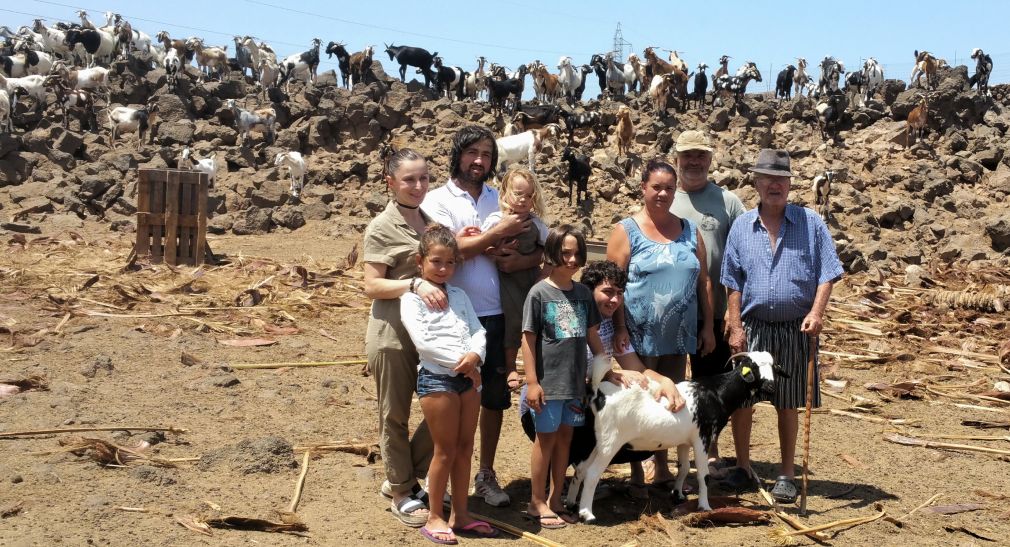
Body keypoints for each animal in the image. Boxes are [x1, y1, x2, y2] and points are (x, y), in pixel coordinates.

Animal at [565, 351, 775, 524]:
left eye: (774, 367)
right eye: (754, 368)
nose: (771, 386)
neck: (716, 393)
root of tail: (597, 392)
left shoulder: (684, 442)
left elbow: (684, 468)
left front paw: (678, 495)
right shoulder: (702, 438)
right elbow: (703, 474)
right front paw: (704, 506)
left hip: (594, 441)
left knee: (581, 470)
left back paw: (571, 504)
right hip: (610, 442)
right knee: (592, 473)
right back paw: (587, 515)